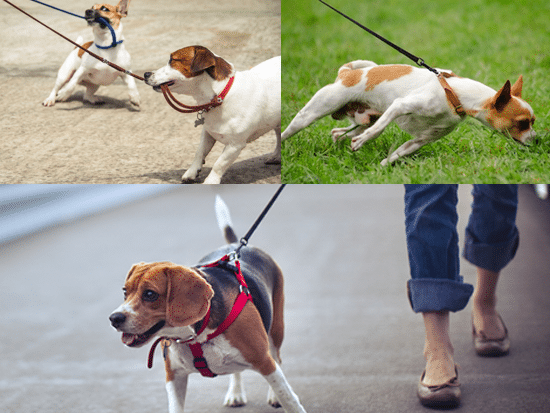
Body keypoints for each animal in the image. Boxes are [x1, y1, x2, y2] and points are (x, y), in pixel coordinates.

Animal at [108, 196, 306, 412]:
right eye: (125, 292)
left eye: (150, 294)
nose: (114, 319)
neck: (195, 334)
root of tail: (237, 245)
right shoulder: (174, 376)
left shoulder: (264, 361)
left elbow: (289, 398)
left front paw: (283, 398)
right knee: (236, 371)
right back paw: (235, 393)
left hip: (276, 331)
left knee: (277, 358)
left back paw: (272, 395)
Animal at [144, 45, 282, 184]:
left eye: (172, 60)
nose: (145, 74)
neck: (220, 96)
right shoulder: (207, 133)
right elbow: (199, 152)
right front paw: (192, 172)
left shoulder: (235, 145)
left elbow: (219, 164)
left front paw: (210, 181)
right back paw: (277, 156)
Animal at [282, 60, 536, 165]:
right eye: (523, 123)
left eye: (533, 122)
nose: (537, 140)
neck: (454, 93)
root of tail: (346, 73)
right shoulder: (399, 106)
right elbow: (379, 131)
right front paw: (364, 142)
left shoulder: (420, 140)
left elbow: (397, 155)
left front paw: (383, 167)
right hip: (312, 113)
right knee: (291, 129)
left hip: (364, 118)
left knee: (342, 131)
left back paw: (339, 141)